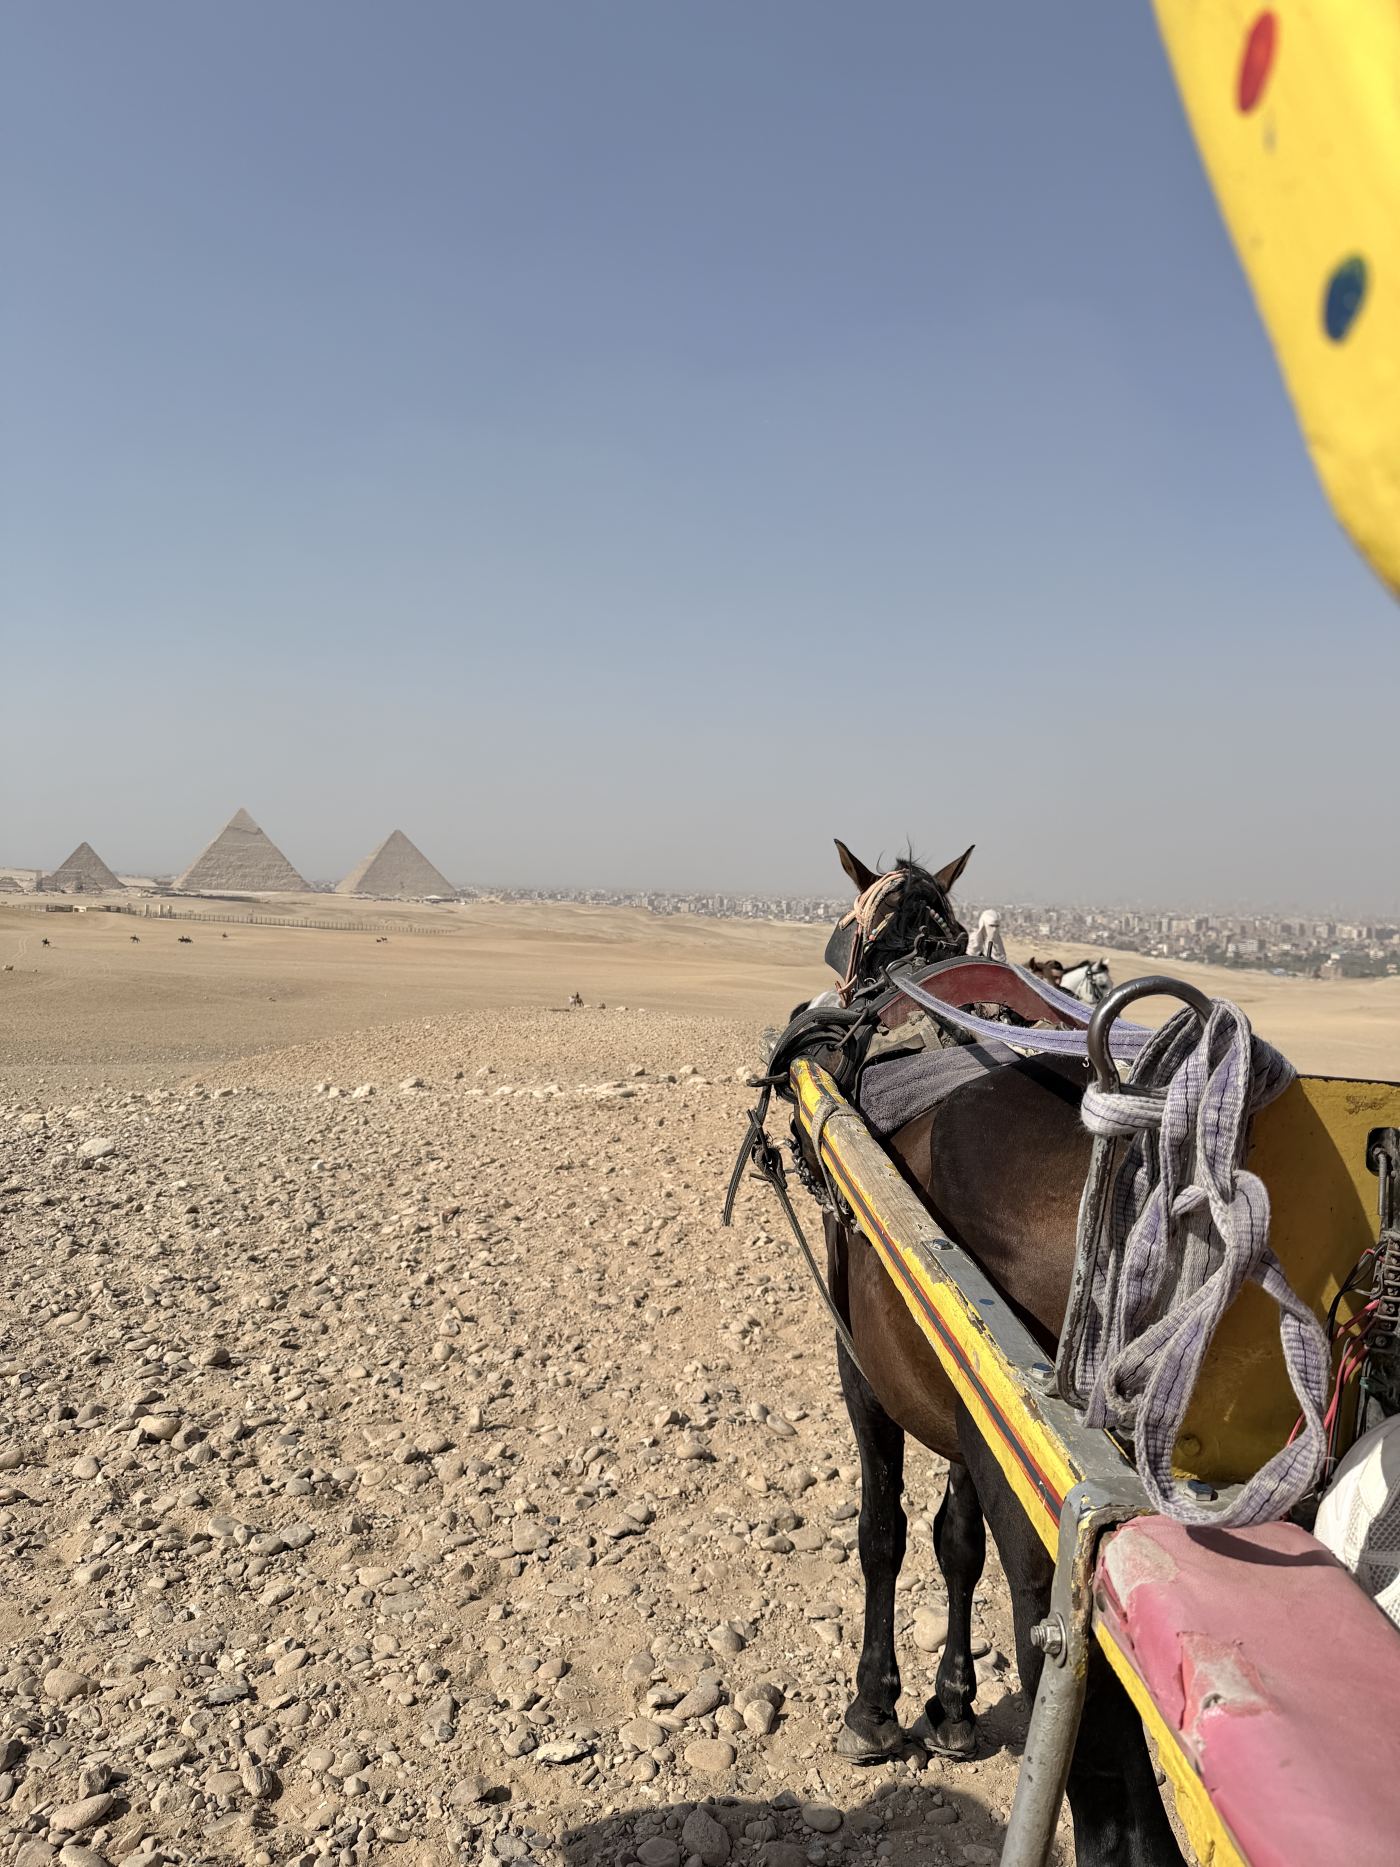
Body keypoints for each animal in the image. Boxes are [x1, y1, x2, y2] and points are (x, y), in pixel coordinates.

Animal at [808, 841, 1182, 1867]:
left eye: (855, 924)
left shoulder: (865, 1367)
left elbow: (883, 1530)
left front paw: (874, 1707)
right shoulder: (974, 1401)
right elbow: (954, 1539)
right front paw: (953, 1707)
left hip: (1057, 1529)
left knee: (1107, 1766)